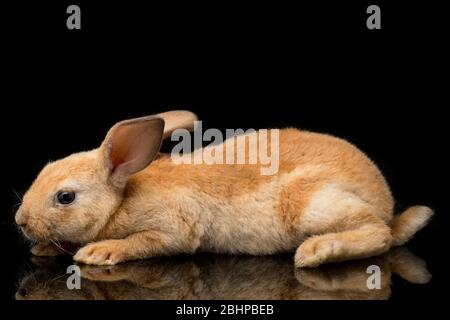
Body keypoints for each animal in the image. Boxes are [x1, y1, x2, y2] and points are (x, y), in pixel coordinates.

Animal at [14, 110, 432, 268]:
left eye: (65, 197)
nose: (20, 220)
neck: (120, 199)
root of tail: (387, 204)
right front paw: (43, 249)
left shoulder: (173, 229)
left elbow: (145, 242)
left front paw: (99, 252)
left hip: (315, 205)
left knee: (378, 234)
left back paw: (317, 251)